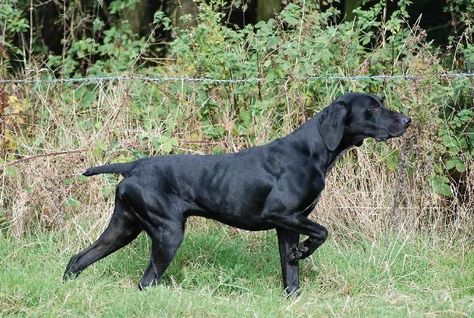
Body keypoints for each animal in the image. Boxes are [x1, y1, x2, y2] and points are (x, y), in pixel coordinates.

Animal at [64, 92, 412, 296]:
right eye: (373, 108)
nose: (407, 120)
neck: (312, 152)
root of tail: (134, 166)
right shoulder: (282, 214)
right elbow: (322, 233)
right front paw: (304, 251)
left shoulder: (287, 226)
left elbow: (291, 273)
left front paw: (293, 291)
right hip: (167, 233)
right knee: (146, 280)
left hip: (123, 228)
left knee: (77, 259)